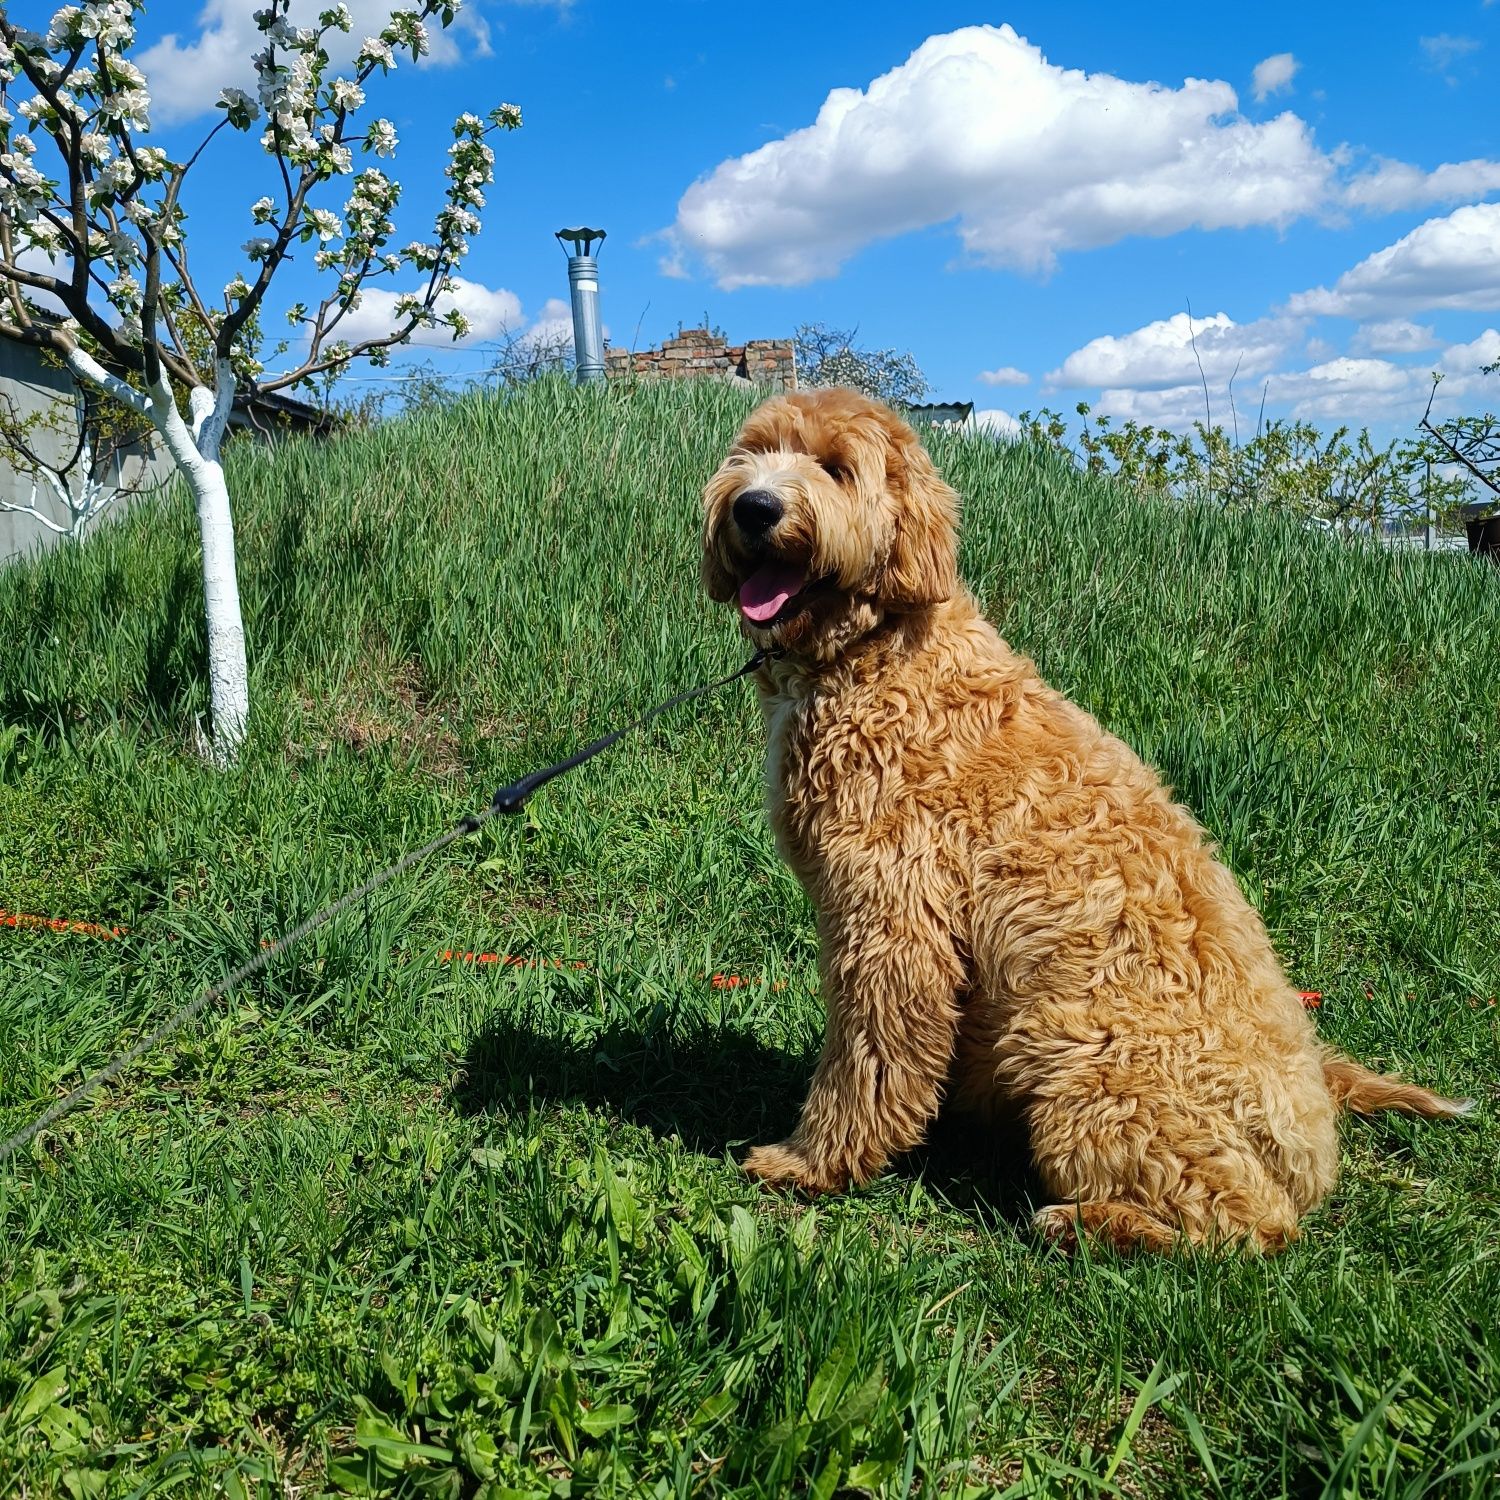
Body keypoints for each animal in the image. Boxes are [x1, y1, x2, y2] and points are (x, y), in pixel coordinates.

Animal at [699, 387, 1464, 1254]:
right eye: (751, 453)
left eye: (835, 467)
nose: (755, 506)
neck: (879, 654)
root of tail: (1313, 1140)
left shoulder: (893, 919)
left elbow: (868, 1058)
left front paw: (813, 1162)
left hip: (1084, 1060)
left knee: (1245, 1225)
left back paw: (1088, 1221)